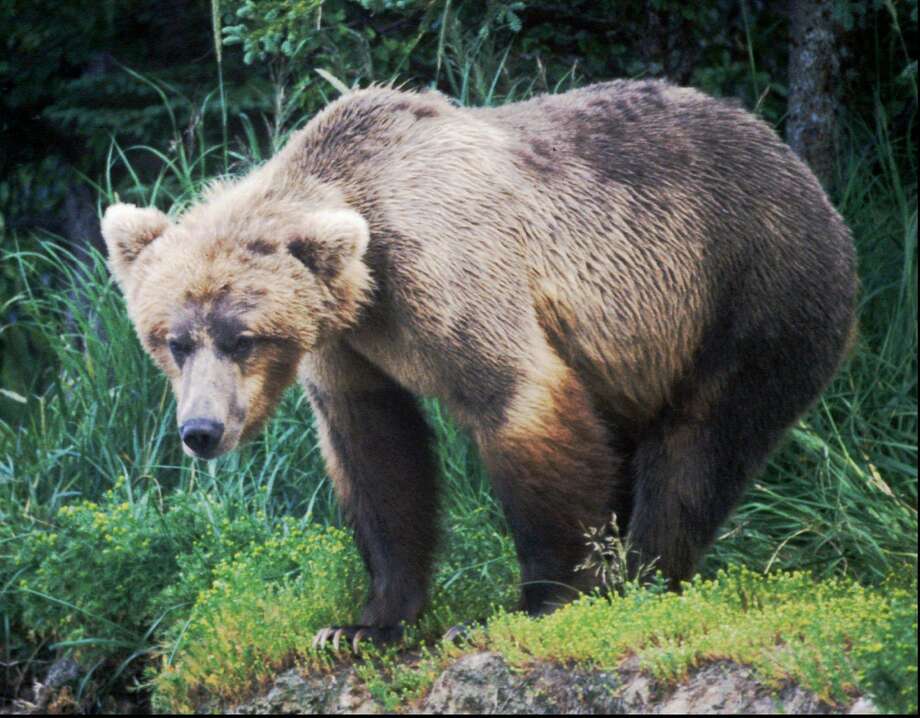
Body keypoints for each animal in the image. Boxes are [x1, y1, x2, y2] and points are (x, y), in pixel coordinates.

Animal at [101, 80, 858, 650]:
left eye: (242, 337)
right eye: (174, 340)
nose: (200, 431)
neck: (366, 276)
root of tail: (800, 167)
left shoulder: (448, 273)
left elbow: (520, 402)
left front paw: (538, 603)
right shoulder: (345, 344)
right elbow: (378, 454)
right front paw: (363, 623)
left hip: (749, 292)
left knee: (696, 449)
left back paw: (640, 578)